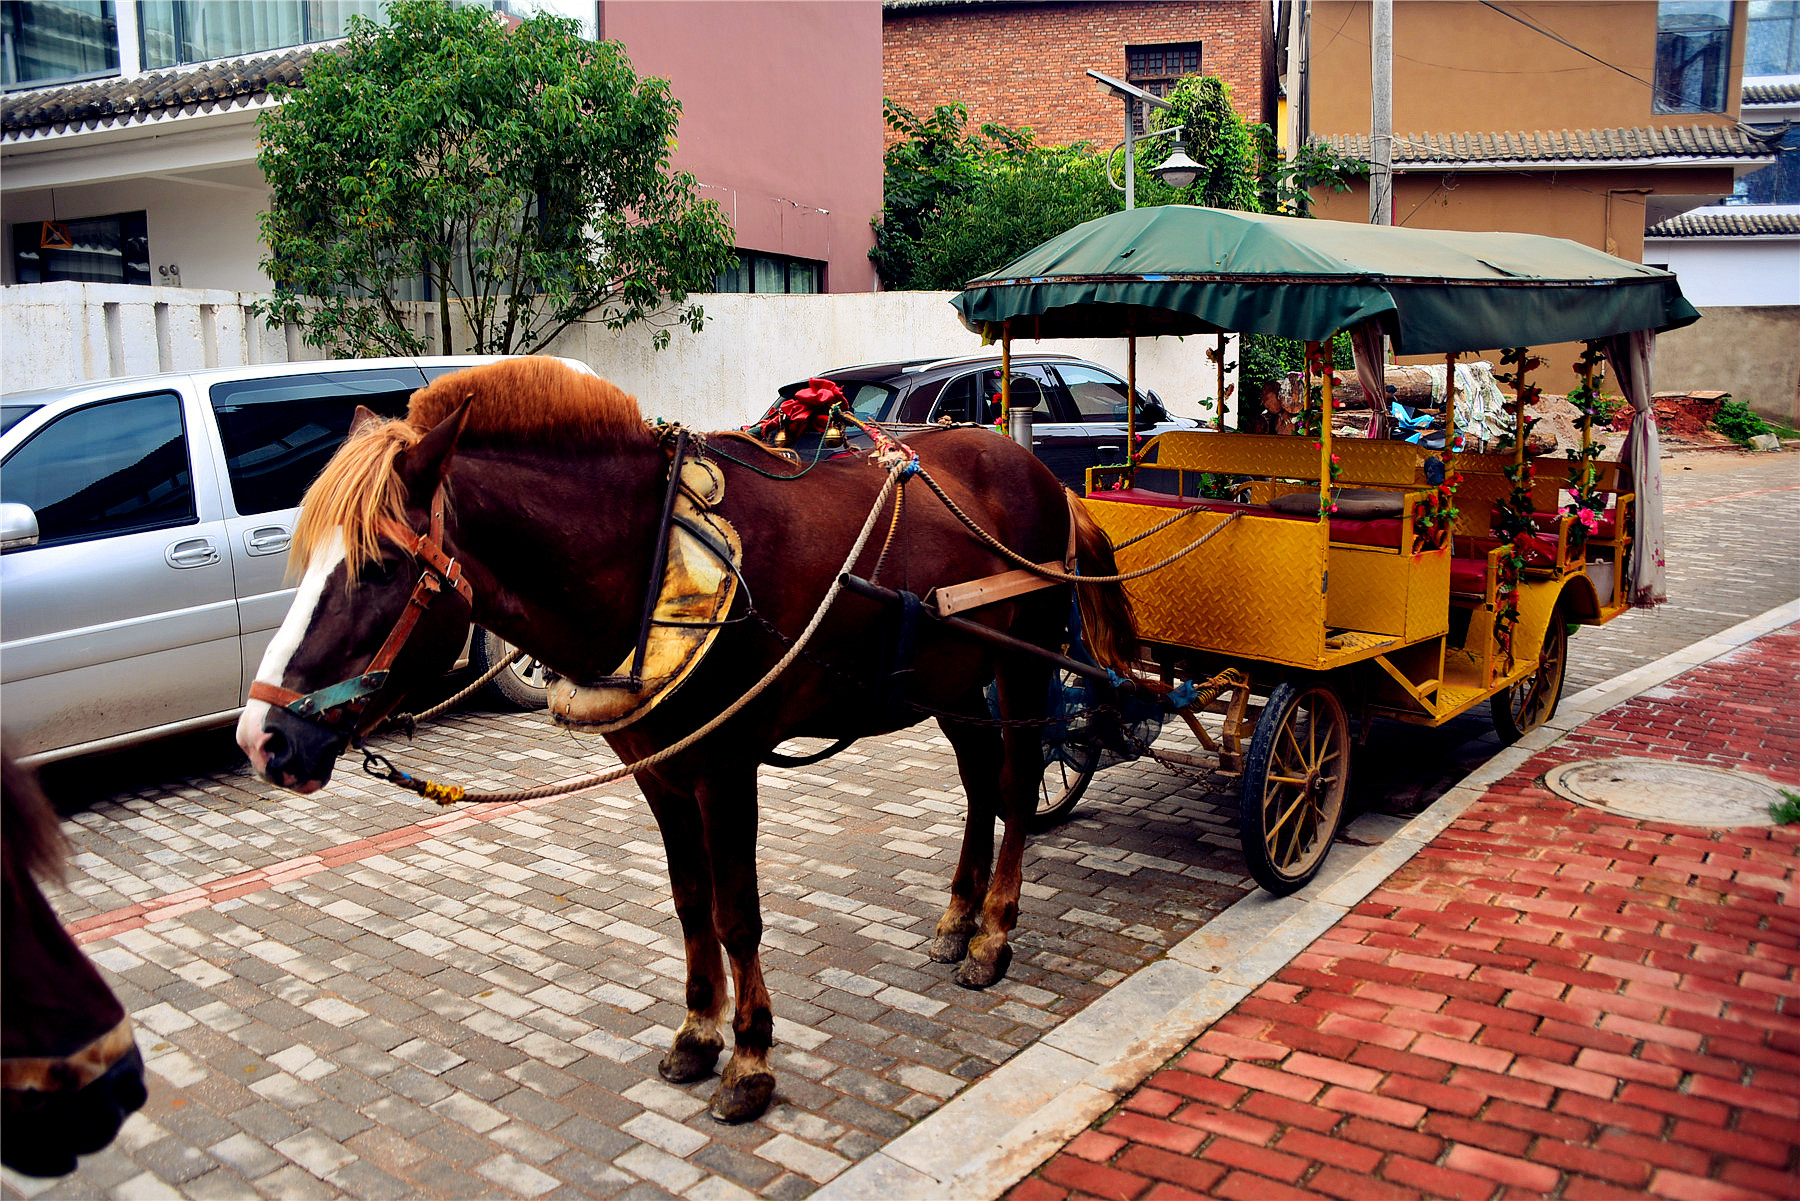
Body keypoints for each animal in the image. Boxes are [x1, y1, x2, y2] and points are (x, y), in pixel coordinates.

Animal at [236, 356, 1136, 1123]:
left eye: (380, 565)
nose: (263, 739)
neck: (647, 557)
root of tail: (1034, 470)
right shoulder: (659, 770)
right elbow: (689, 898)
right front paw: (699, 1032)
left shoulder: (726, 766)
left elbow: (738, 912)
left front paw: (751, 1061)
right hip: (951, 675)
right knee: (980, 780)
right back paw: (957, 916)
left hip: (1025, 662)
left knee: (1015, 783)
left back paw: (993, 931)